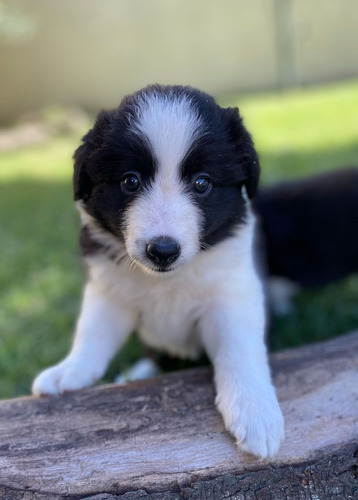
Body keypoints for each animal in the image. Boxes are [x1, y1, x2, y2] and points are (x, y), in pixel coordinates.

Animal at [33, 84, 286, 458]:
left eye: (202, 183)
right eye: (130, 181)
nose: (163, 251)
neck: (166, 279)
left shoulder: (231, 294)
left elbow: (241, 352)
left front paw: (256, 412)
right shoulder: (109, 290)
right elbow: (92, 335)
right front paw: (69, 371)